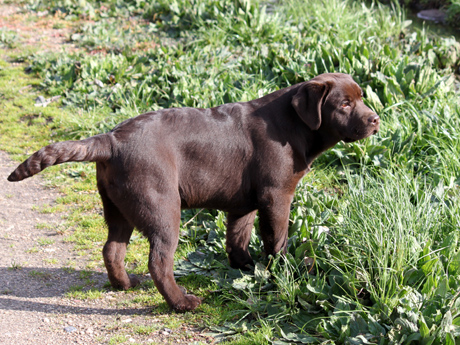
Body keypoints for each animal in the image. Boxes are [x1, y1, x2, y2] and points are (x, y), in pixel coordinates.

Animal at [8, 73, 380, 312]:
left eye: (362, 98)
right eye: (344, 104)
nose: (376, 120)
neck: (294, 124)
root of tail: (110, 140)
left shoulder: (243, 204)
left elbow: (237, 237)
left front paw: (245, 268)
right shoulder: (276, 196)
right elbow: (277, 240)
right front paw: (284, 273)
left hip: (118, 206)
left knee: (112, 249)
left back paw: (124, 285)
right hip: (161, 205)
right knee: (159, 261)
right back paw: (182, 303)